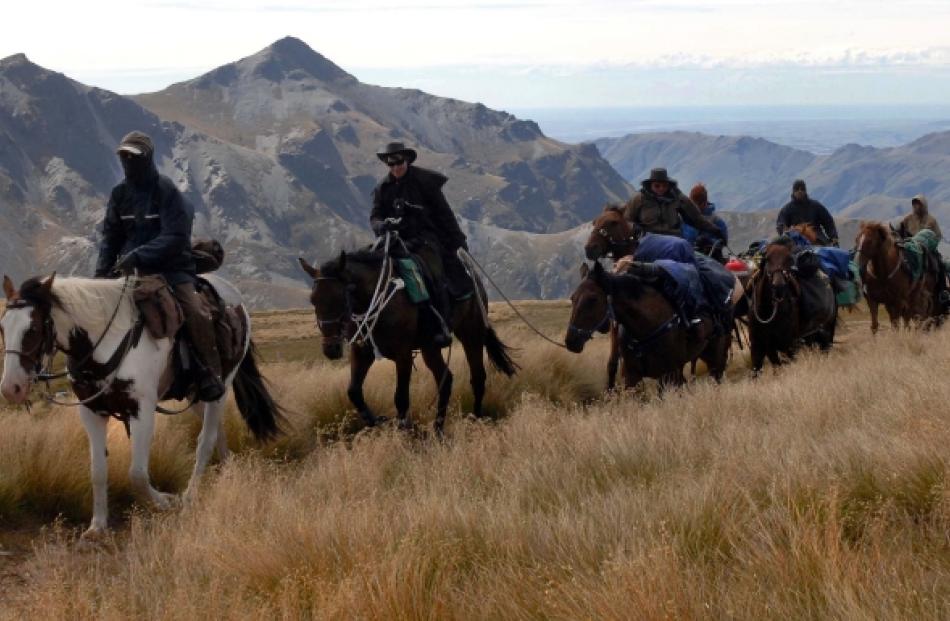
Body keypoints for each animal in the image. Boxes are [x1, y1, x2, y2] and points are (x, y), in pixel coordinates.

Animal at [0, 274, 282, 540]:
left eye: (32, 328)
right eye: (2, 327)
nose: (11, 388)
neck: (105, 343)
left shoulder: (142, 411)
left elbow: (137, 474)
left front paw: (166, 501)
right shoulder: (91, 412)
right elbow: (97, 471)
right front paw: (97, 526)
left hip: (220, 387)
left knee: (206, 439)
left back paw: (189, 496)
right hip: (194, 395)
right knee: (218, 432)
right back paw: (227, 472)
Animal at [300, 245, 516, 434]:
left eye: (340, 297)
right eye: (313, 300)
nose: (331, 349)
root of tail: (475, 280)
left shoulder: (402, 354)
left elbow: (401, 398)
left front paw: (406, 432)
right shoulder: (362, 352)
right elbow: (354, 392)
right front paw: (379, 422)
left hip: (471, 333)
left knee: (478, 376)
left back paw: (476, 420)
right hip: (430, 348)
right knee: (445, 379)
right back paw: (438, 429)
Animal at [564, 260, 728, 390]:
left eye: (593, 299)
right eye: (572, 298)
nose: (571, 341)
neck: (646, 326)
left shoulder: (667, 375)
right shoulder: (632, 377)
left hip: (715, 359)